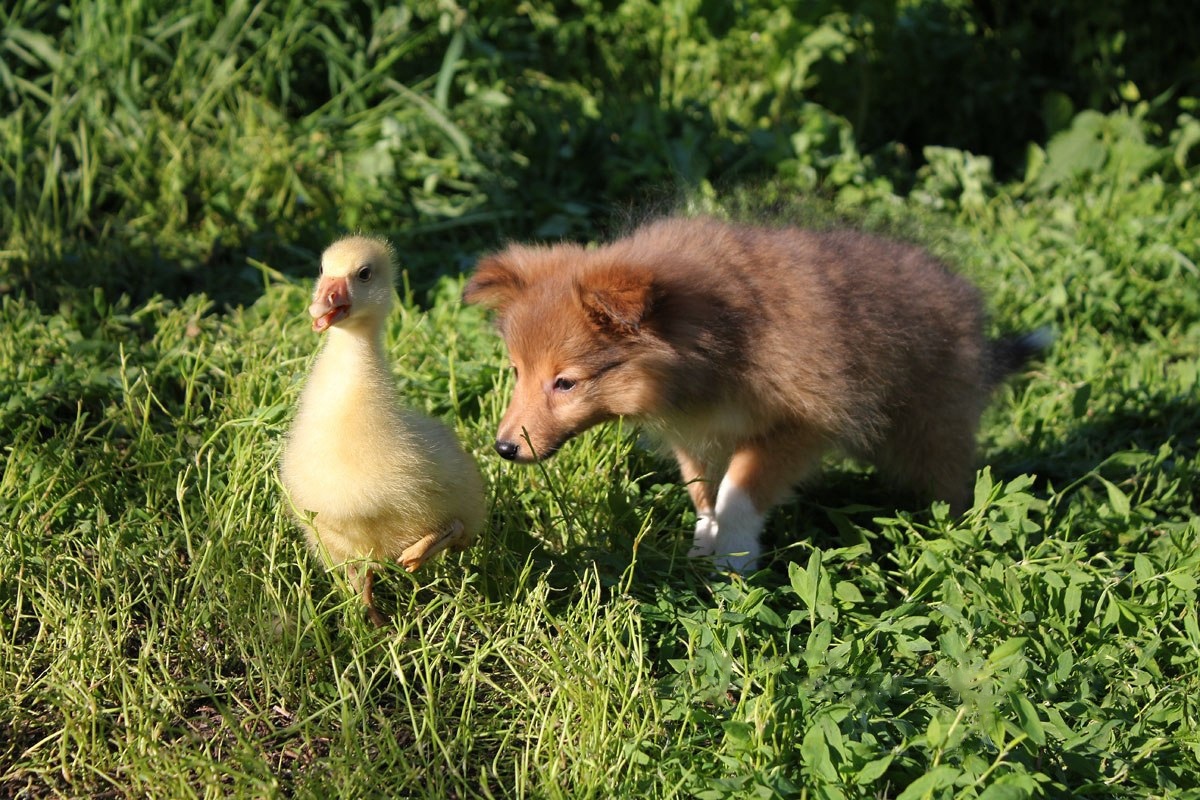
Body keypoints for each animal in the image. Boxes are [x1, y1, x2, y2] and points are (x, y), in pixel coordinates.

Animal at [463, 215, 1046, 573]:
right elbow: (705, 493)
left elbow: (740, 491)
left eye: (566, 382)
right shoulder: (697, 432)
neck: (721, 344)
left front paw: (734, 558)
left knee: (956, 484)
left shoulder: (801, 425)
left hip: (932, 430)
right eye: (516, 371)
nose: (504, 448)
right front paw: (705, 545)